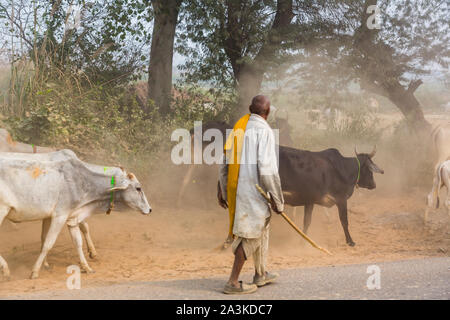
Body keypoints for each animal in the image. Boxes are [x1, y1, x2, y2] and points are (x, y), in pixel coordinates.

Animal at [0, 150, 152, 278]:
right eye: (138, 188)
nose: (150, 209)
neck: (82, 181)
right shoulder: (59, 216)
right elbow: (48, 243)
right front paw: (35, 271)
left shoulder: (71, 217)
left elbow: (77, 241)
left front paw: (87, 267)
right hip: (2, 211)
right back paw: (6, 270)